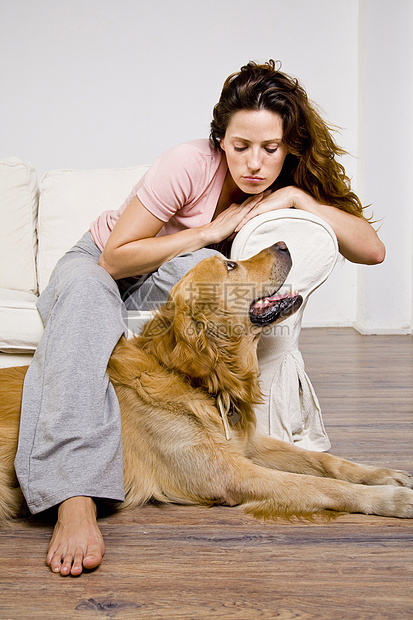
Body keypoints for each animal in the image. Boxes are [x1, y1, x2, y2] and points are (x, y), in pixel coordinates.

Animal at [0, 242, 412, 524]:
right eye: (230, 264)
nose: (283, 243)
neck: (200, 381)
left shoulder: (247, 444)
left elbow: (325, 461)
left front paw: (384, 475)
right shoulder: (229, 474)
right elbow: (319, 486)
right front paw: (391, 499)